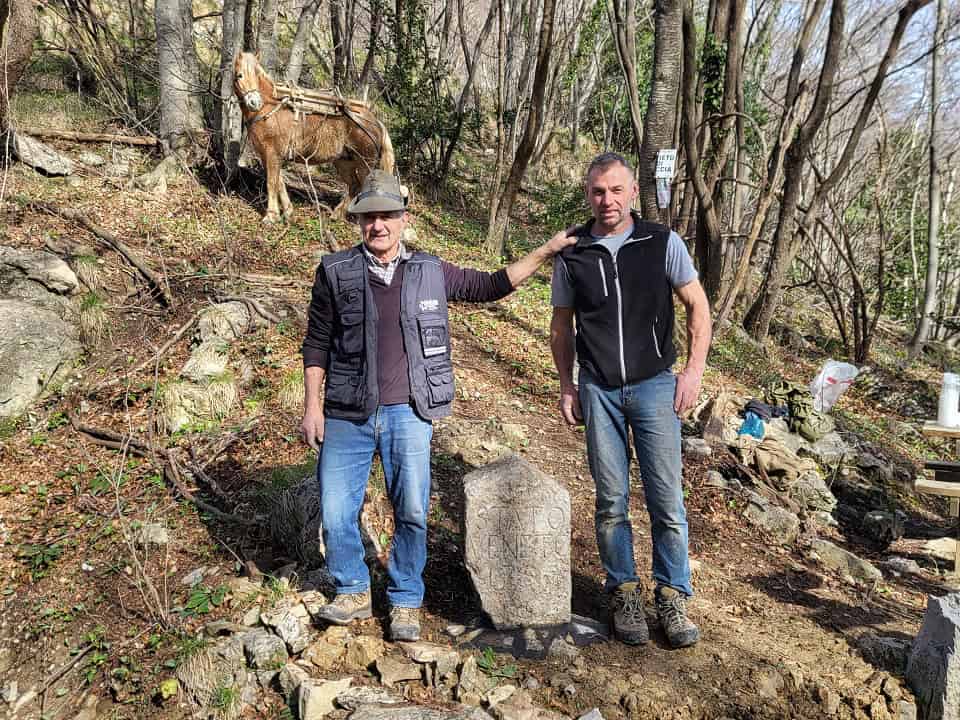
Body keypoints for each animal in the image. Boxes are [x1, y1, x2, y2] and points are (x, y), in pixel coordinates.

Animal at [234, 52, 396, 222]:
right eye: (239, 75)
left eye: (257, 74)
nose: (254, 102)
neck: (269, 108)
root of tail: (375, 121)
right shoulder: (267, 155)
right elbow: (279, 182)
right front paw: (288, 212)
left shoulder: (272, 153)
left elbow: (272, 183)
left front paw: (271, 216)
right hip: (344, 161)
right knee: (354, 186)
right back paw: (336, 215)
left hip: (365, 162)